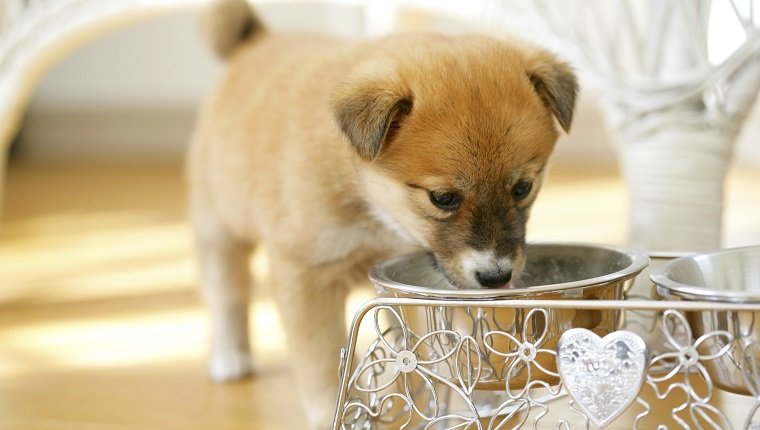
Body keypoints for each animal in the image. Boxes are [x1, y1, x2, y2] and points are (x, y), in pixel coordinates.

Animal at [189, 1, 576, 428]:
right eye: (443, 198)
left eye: (522, 188)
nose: (496, 277)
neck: (370, 203)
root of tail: (254, 42)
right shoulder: (306, 275)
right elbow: (322, 363)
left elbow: (427, 356)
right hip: (218, 224)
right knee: (226, 293)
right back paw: (229, 356)